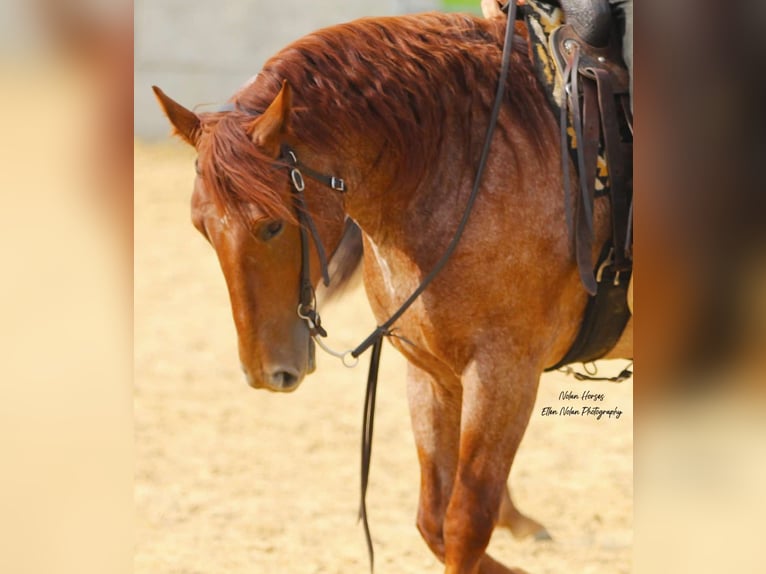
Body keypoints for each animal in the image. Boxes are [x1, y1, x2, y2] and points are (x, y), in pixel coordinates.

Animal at [153, 10, 632, 574]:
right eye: (202, 228)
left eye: (271, 225)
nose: (266, 373)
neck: (466, 166)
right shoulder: (431, 374)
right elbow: (433, 519)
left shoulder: (504, 375)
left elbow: (465, 523)